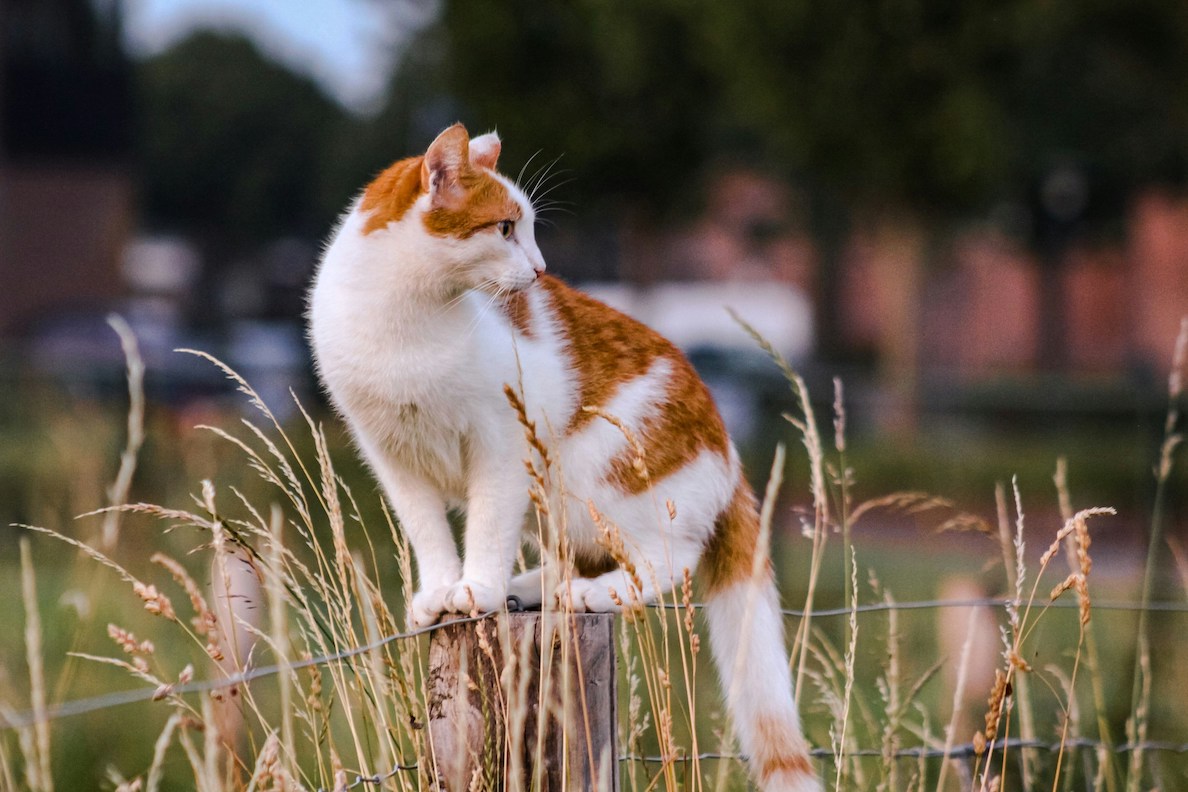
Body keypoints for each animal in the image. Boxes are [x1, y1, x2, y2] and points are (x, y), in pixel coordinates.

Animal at [308, 124, 817, 792]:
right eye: (504, 228)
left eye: (526, 228)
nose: (540, 269)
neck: (407, 317)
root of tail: (728, 453)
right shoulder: (391, 456)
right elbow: (427, 531)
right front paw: (443, 590)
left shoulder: (502, 445)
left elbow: (487, 526)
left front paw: (476, 588)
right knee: (572, 558)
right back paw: (532, 589)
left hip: (596, 475)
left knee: (666, 562)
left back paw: (592, 594)